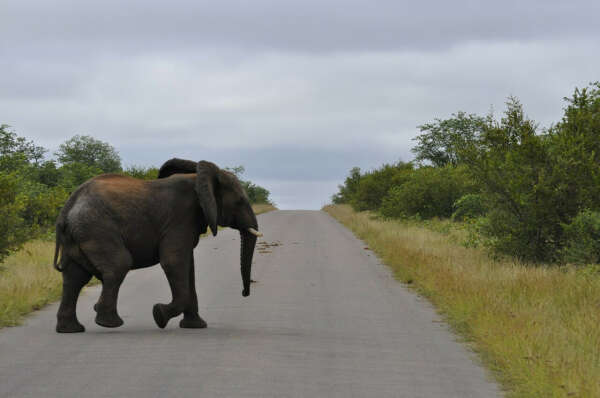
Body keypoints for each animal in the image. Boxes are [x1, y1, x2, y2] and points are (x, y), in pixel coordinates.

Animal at [53, 159, 262, 332]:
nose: (245, 293)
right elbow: (173, 262)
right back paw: (109, 323)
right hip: (96, 228)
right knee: (118, 265)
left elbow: (188, 269)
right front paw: (159, 315)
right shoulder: (180, 218)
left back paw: (71, 329)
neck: (199, 179)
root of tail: (67, 208)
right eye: (240, 201)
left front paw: (195, 326)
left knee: (74, 277)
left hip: (79, 234)